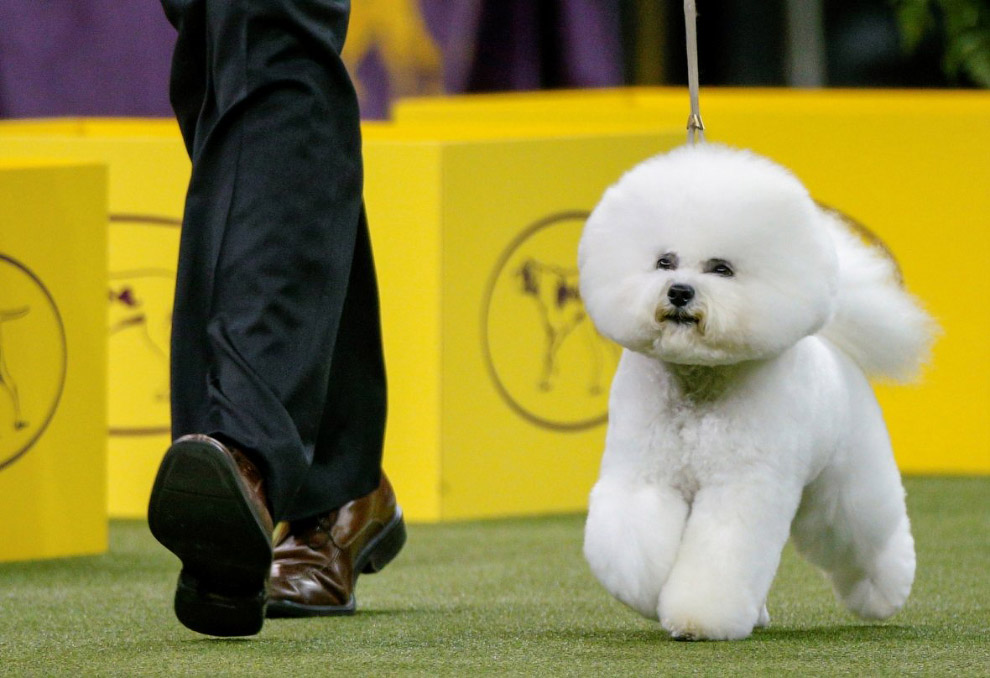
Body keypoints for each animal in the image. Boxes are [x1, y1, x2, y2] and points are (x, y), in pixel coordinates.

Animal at [576, 143, 932, 644]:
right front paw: (648, 594)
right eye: (665, 261)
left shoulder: (741, 487)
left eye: (721, 268)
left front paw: (698, 620)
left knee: (864, 535)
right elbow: (628, 545)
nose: (679, 292)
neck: (699, 382)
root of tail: (833, 342)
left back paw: (885, 593)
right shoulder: (646, 473)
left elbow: (723, 555)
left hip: (844, 484)